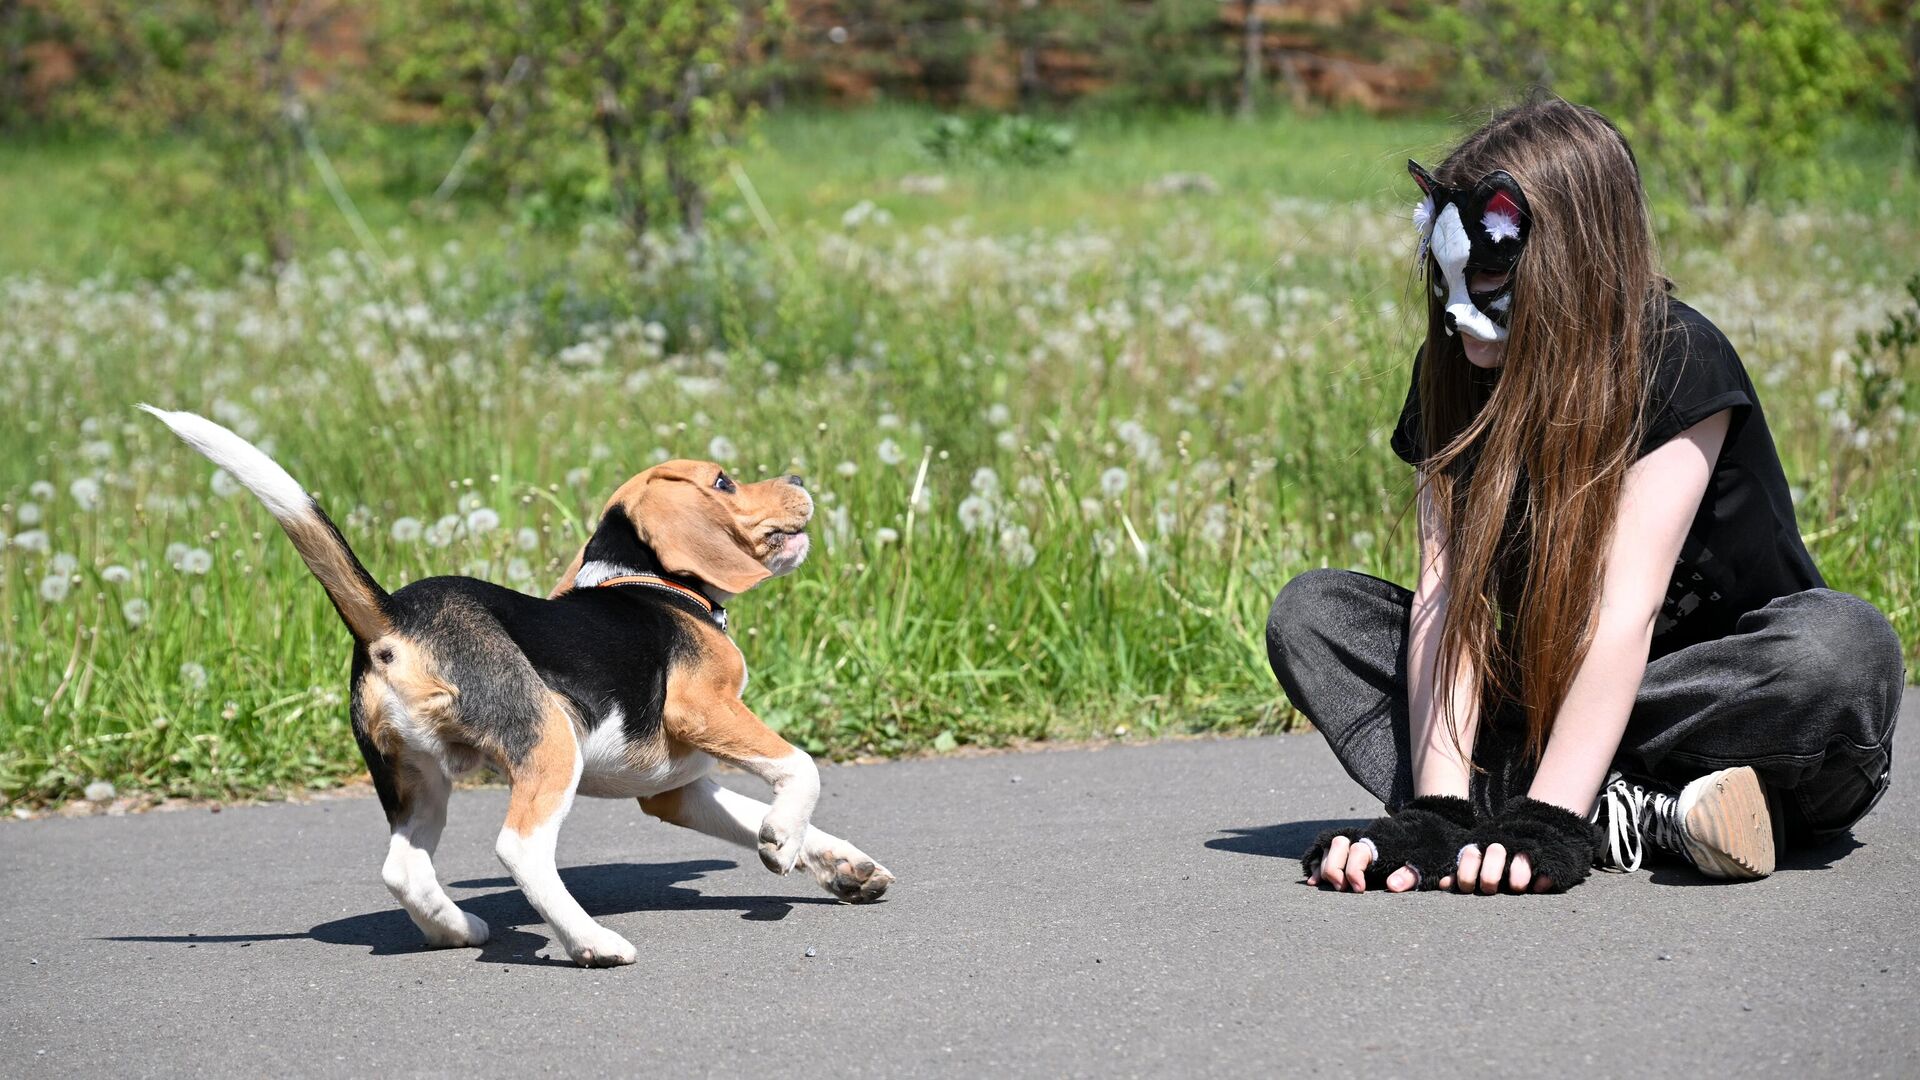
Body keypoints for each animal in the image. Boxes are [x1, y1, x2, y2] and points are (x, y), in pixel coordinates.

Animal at [145, 405, 894, 968]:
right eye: (725, 481)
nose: (798, 475)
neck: (648, 580)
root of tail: (393, 616)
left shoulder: (675, 789)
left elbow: (762, 812)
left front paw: (840, 864)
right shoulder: (705, 708)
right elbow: (801, 768)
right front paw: (782, 841)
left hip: (415, 778)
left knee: (402, 868)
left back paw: (455, 929)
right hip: (550, 740)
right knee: (520, 849)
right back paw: (591, 942)